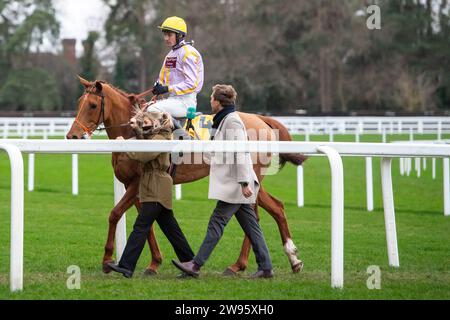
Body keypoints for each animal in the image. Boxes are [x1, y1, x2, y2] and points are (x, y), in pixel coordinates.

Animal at [67, 77, 306, 276]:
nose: (72, 136)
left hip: (247, 178)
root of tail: (261, 119)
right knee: (275, 208)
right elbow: (148, 222)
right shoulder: (133, 185)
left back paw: (241, 264)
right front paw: (154, 263)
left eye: (92, 105)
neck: (133, 133)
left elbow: (115, 214)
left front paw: (108, 260)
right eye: (79, 102)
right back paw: (291, 260)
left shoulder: (136, 183)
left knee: (256, 215)